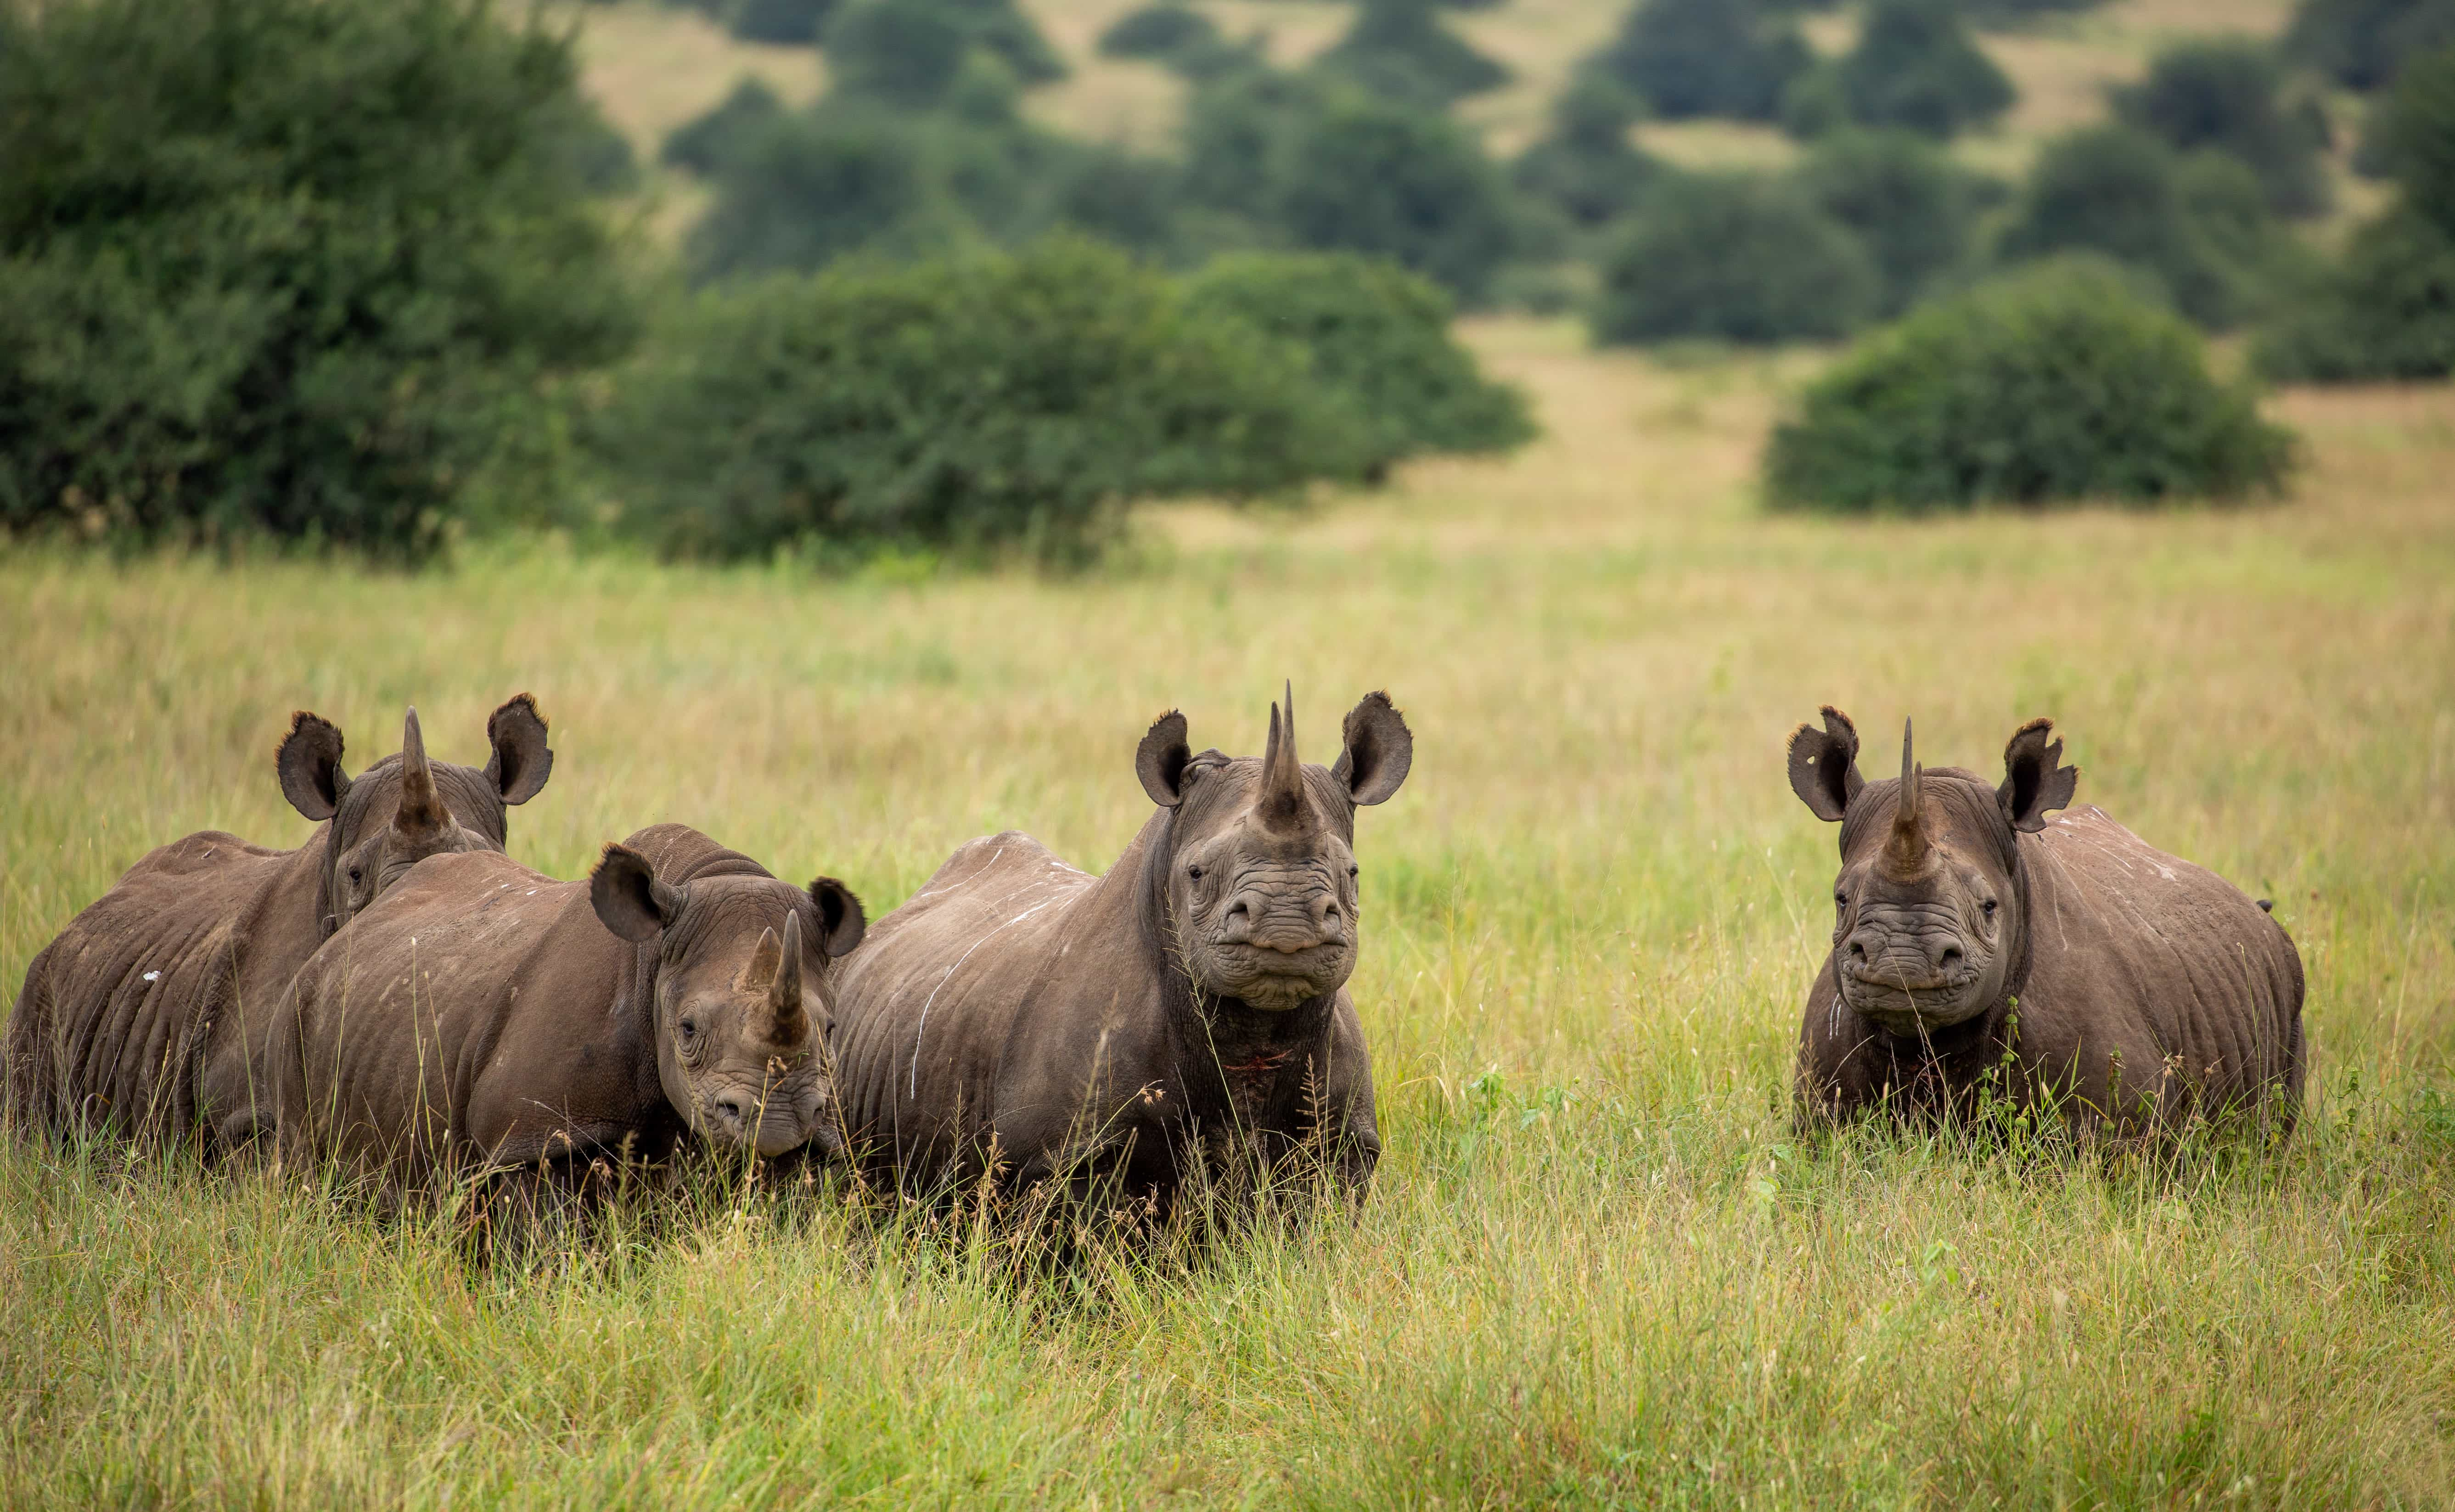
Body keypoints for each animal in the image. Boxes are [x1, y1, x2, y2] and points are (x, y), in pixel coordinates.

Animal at [266, 825, 864, 1193]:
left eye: (832, 1029)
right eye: (688, 1028)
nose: (777, 1118)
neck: (652, 959)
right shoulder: (531, 1134)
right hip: (297, 1016)